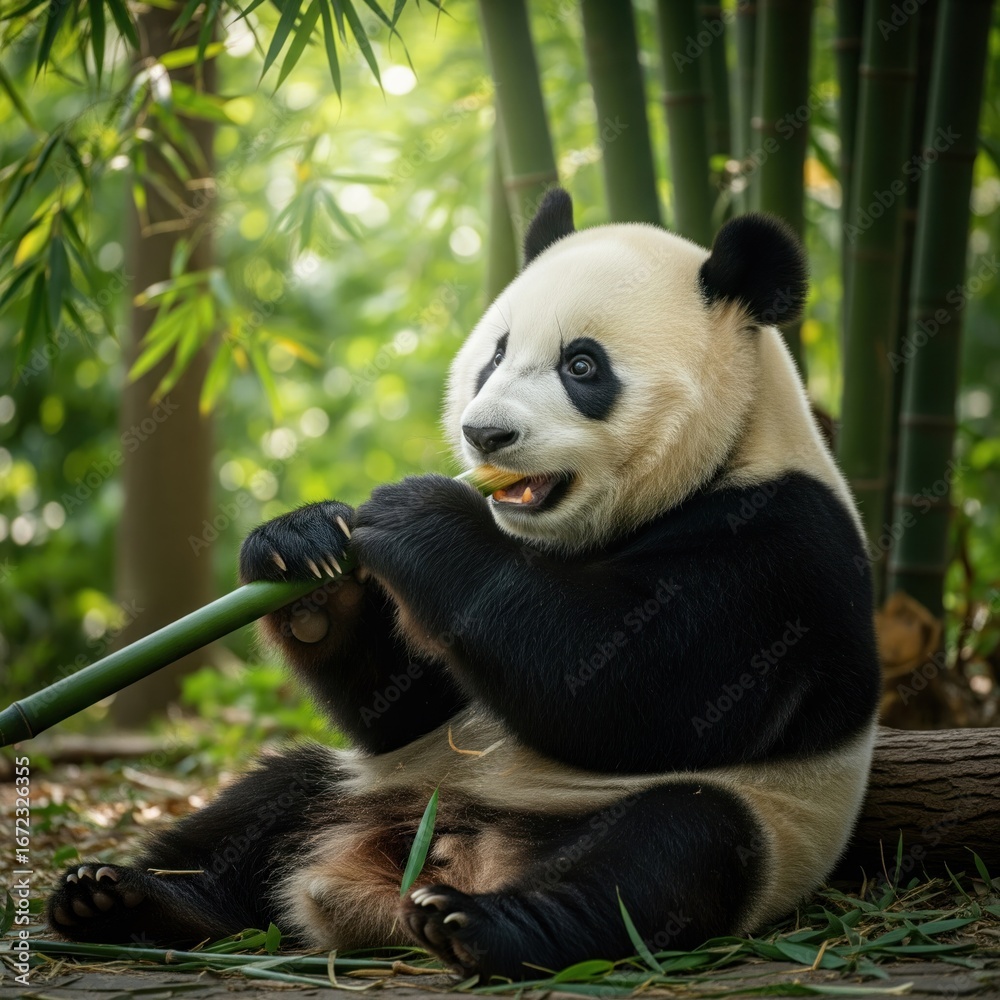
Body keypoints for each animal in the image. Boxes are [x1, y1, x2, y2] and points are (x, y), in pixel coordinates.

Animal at [47, 189, 880, 980]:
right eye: (495, 355)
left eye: (583, 366)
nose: (486, 435)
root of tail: (427, 860)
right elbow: (407, 704)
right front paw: (303, 550)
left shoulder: (779, 548)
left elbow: (634, 689)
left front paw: (416, 514)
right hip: (379, 781)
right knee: (267, 797)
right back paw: (125, 899)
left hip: (745, 824)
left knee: (671, 849)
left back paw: (481, 927)